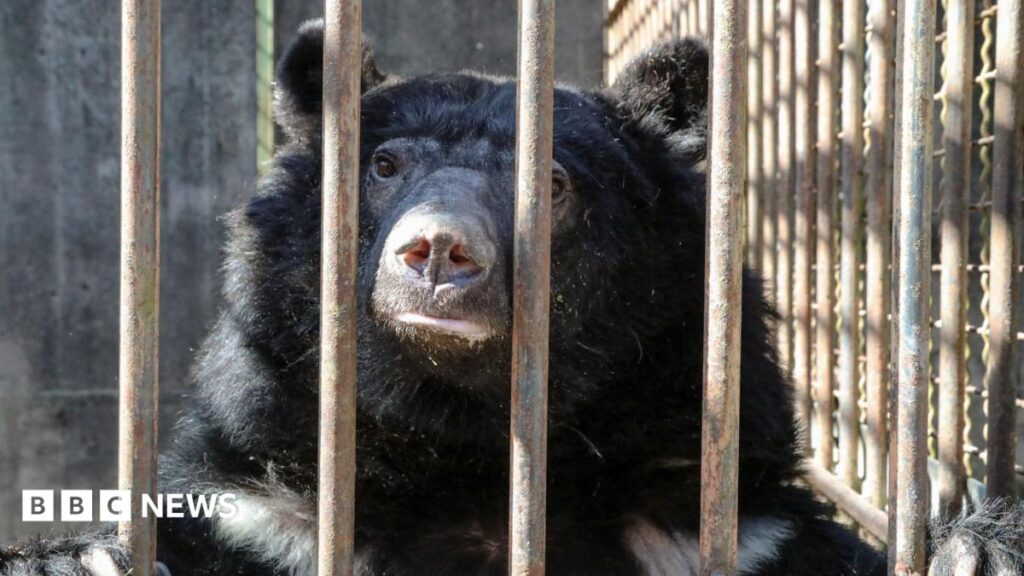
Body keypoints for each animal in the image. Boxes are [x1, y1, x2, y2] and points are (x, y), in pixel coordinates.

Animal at [2, 18, 1023, 576]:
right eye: (384, 165)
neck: (468, 443)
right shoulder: (268, 515)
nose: (436, 250)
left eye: (555, 184)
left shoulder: (729, 529)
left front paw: (977, 544)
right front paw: (69, 555)